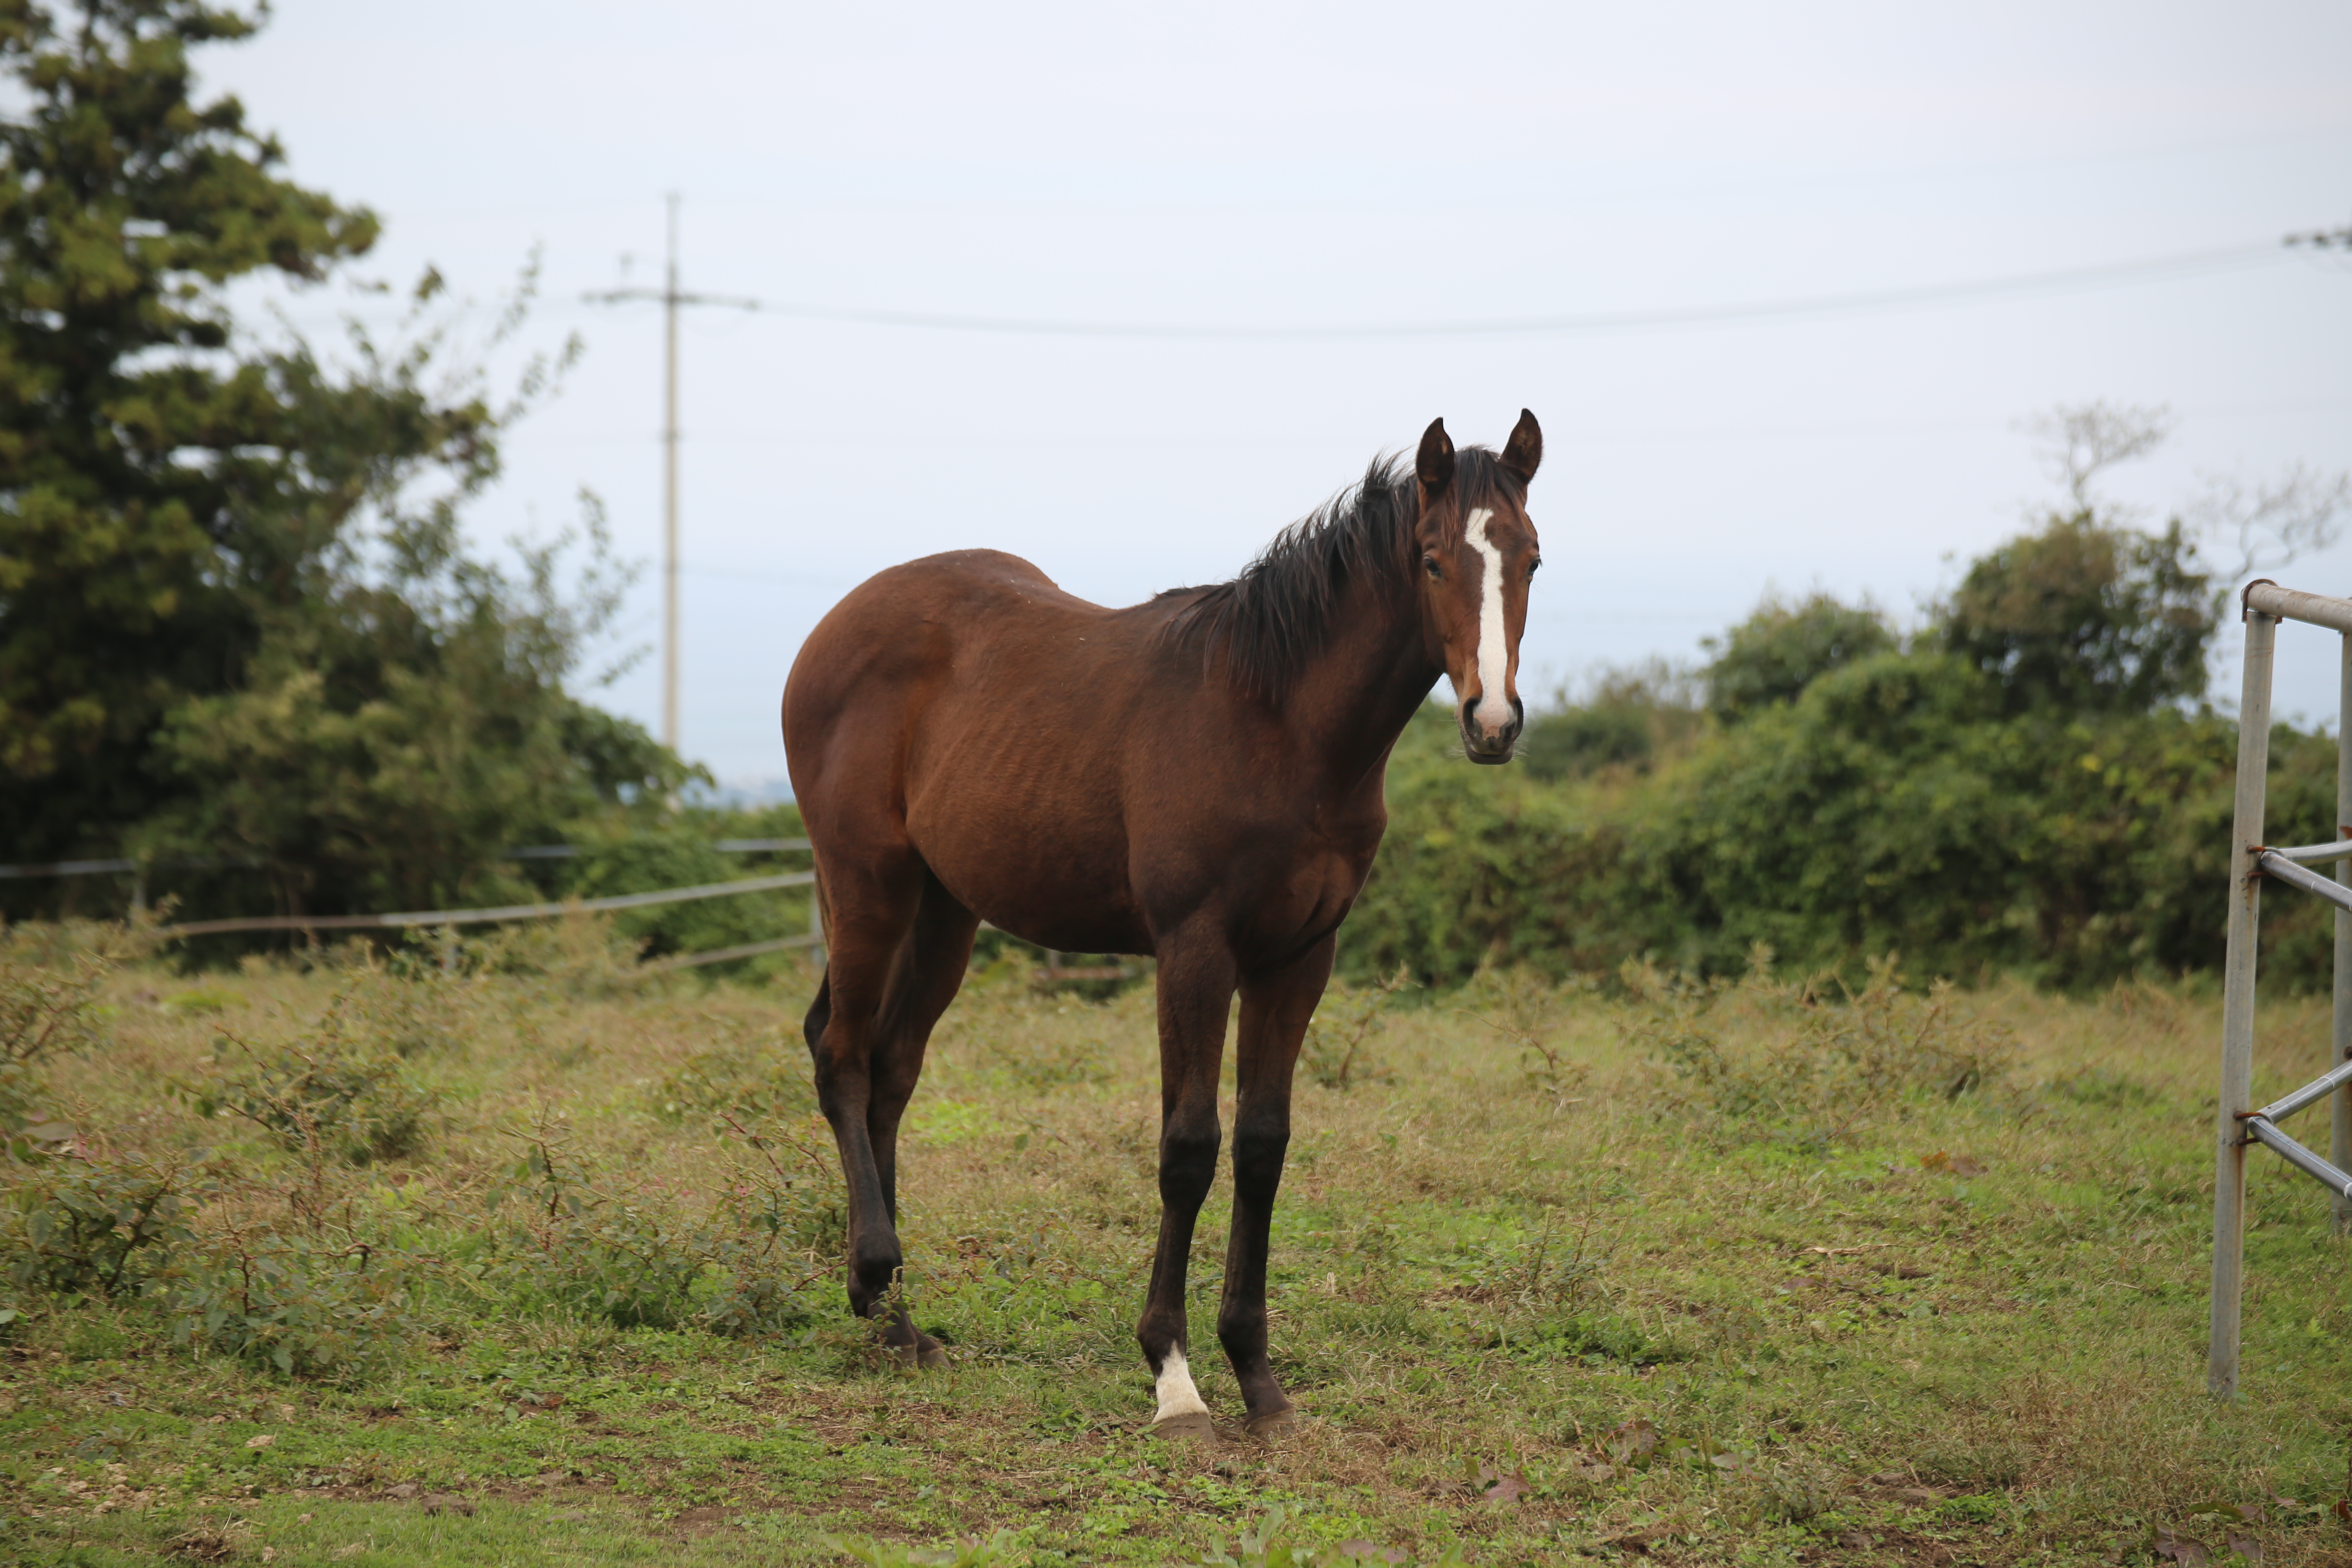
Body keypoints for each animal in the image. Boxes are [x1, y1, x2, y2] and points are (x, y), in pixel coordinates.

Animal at [776, 411, 1543, 1439]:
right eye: (1429, 560)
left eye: (1530, 558)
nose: (1491, 722)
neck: (1277, 724)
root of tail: (836, 625)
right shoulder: (1193, 951)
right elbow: (1188, 1149)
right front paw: (1173, 1375)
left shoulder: (1298, 958)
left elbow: (1261, 1146)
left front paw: (1256, 1374)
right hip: (867, 885)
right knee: (843, 1058)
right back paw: (872, 1280)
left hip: (945, 912)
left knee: (891, 1074)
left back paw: (899, 1318)